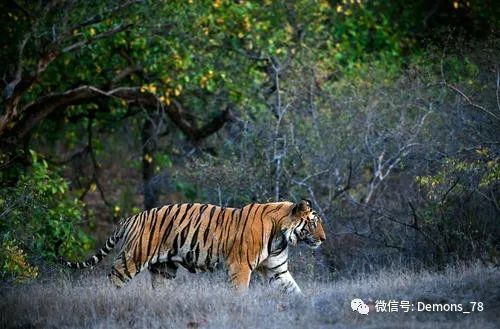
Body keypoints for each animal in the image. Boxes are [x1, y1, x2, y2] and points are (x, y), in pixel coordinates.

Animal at [60, 197, 326, 292]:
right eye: (313, 223)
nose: (324, 239)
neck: (281, 237)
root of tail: (132, 217)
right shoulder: (239, 266)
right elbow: (240, 293)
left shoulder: (277, 270)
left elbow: (294, 291)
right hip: (133, 257)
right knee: (113, 278)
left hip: (164, 269)